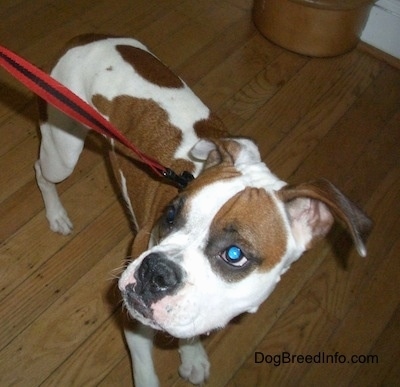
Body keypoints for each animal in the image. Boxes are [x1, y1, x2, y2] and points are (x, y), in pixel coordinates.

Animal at [36, 34, 374, 386]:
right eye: (170, 215)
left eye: (235, 255)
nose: (155, 271)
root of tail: (89, 38)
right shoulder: (133, 318)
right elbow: (146, 372)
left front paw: (193, 354)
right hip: (63, 150)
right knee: (41, 172)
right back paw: (56, 214)